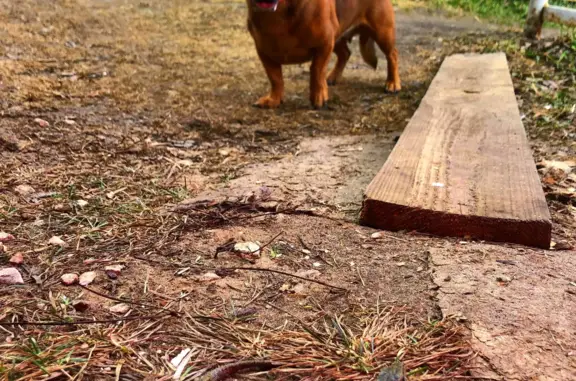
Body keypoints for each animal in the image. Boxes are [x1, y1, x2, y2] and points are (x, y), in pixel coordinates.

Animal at [246, 0, 400, 108]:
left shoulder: (324, 44)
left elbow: (316, 70)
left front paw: (319, 96)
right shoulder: (263, 53)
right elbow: (275, 78)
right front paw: (273, 99)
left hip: (382, 32)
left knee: (392, 55)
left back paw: (392, 83)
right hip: (337, 37)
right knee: (345, 53)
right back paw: (332, 77)